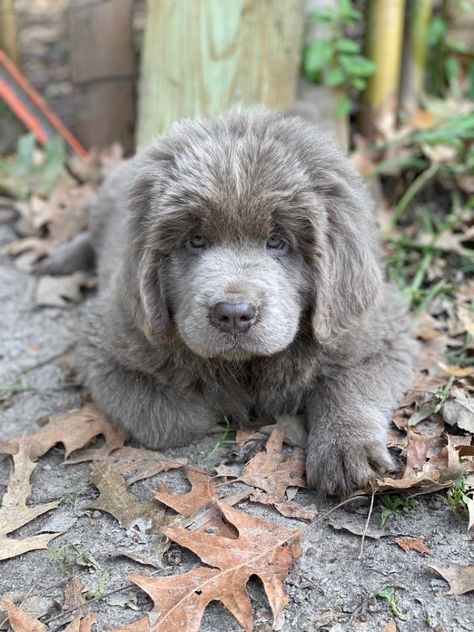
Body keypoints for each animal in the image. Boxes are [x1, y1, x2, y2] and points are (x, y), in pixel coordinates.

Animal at [73, 111, 414, 502]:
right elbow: (177, 419)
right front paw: (224, 402)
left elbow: (348, 384)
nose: (234, 314)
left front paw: (347, 452)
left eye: (277, 241)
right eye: (195, 241)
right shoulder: (107, 344)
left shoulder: (379, 332)